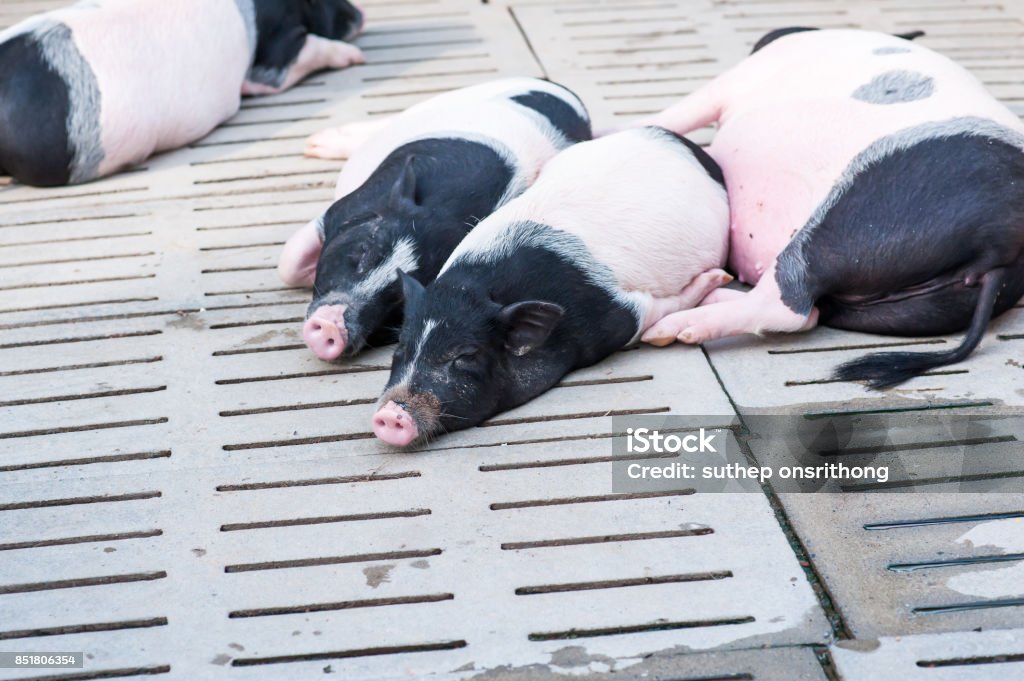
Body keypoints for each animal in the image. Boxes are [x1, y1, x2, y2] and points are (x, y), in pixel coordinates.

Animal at [282, 78, 593, 360]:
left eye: (398, 298)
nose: (330, 327)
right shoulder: (348, 206)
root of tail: (564, 92)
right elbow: (288, 264)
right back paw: (316, 143)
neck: (446, 212)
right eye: (363, 251)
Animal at [372, 127, 733, 446]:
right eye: (401, 347)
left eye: (466, 355)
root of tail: (677, 138)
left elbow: (651, 310)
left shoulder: (620, 311)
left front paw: (715, 283)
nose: (390, 414)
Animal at [638, 27, 1024, 387]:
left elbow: (680, 111)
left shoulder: (734, 79)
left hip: (849, 223)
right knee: (811, 314)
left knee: (791, 304)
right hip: (914, 305)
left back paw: (669, 330)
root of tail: (999, 250)